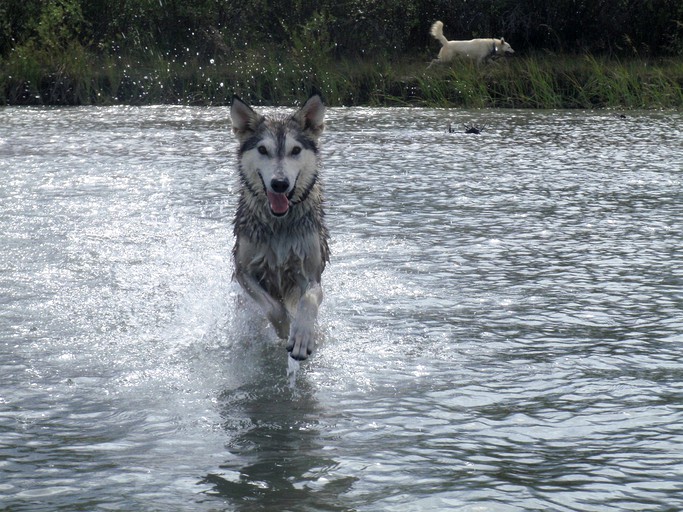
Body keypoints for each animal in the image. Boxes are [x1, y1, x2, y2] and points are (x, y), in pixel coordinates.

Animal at [228, 94, 330, 362]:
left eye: (295, 150)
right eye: (263, 150)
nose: (280, 183)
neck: (280, 223)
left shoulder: (311, 274)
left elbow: (308, 300)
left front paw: (302, 336)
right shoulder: (243, 271)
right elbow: (274, 308)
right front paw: (286, 329)